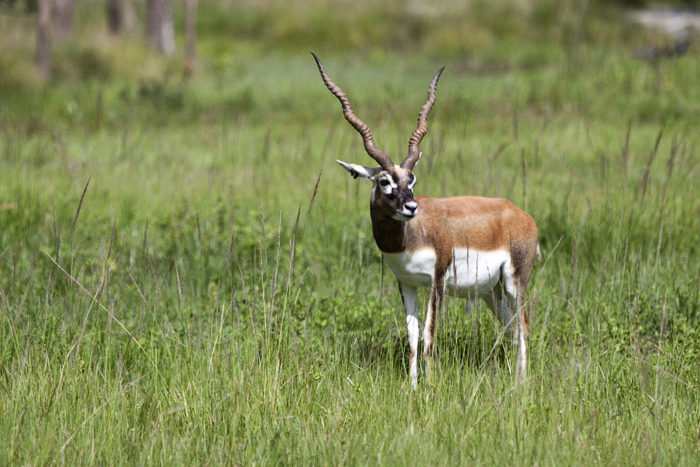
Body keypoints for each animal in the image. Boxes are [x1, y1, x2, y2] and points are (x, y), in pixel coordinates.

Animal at [312, 53, 540, 388]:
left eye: (412, 179)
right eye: (384, 181)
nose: (411, 207)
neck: (410, 237)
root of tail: (521, 215)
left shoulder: (438, 280)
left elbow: (429, 337)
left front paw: (431, 387)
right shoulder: (406, 283)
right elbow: (412, 337)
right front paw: (413, 386)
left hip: (515, 281)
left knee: (523, 327)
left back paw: (520, 386)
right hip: (492, 291)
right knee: (512, 327)